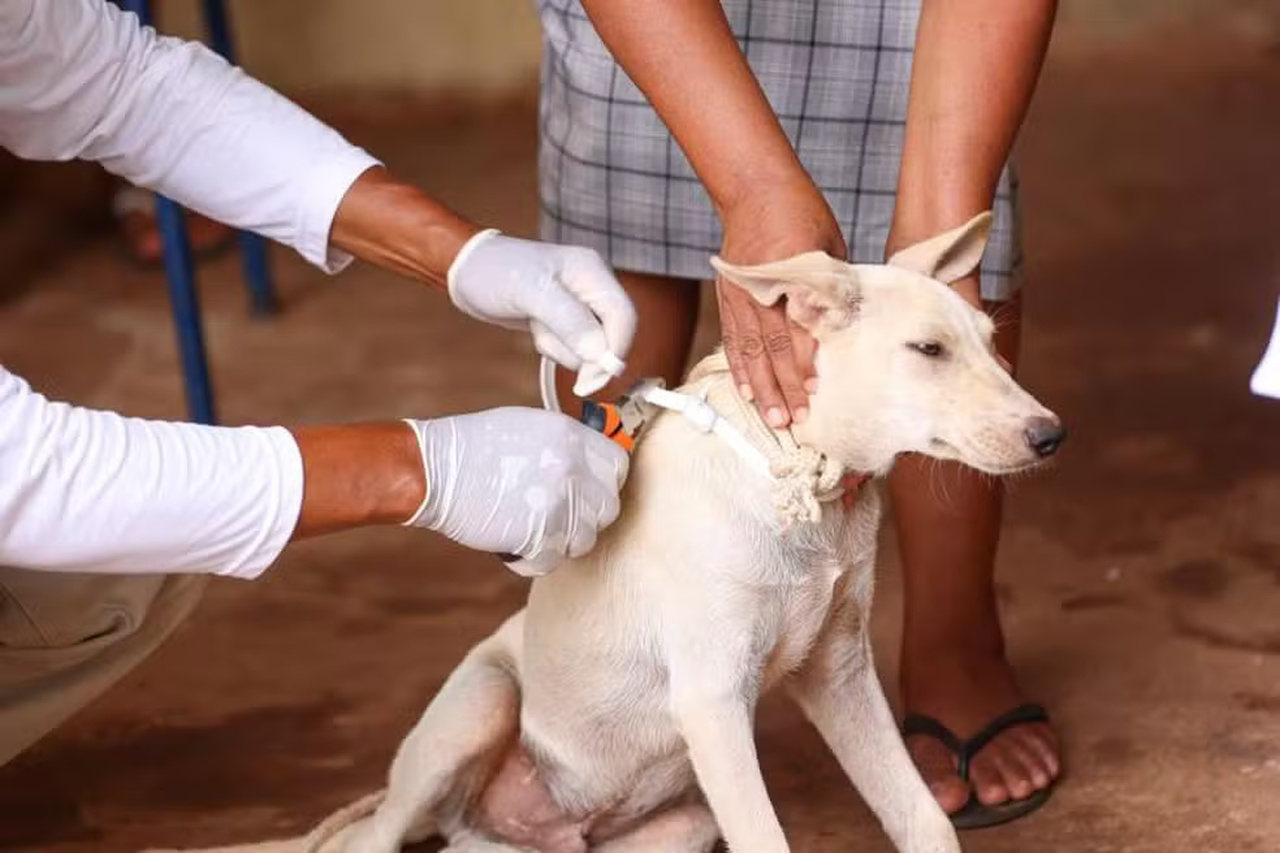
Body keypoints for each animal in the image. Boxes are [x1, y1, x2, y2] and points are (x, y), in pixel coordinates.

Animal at [157, 211, 1059, 850]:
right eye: (928, 350)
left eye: (991, 343)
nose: (1052, 436)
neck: (800, 478)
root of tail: (513, 826)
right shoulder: (713, 697)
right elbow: (767, 836)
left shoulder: (836, 668)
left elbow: (921, 815)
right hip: (478, 705)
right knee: (367, 841)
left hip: (673, 827)